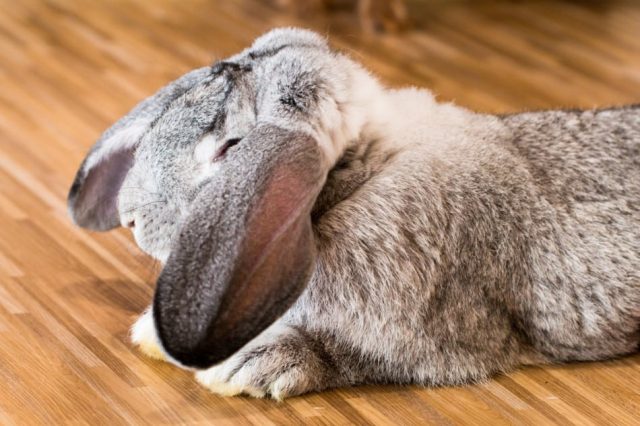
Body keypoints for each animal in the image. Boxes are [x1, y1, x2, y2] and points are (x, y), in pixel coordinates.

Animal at [69, 27, 640, 400]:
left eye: (231, 149)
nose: (131, 217)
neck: (362, 175)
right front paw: (154, 335)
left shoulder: (433, 336)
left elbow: (353, 354)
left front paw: (248, 367)